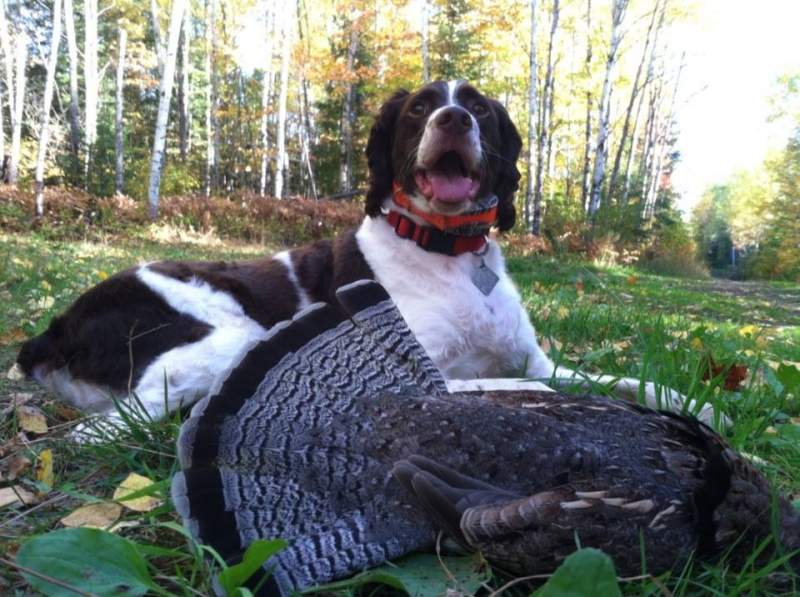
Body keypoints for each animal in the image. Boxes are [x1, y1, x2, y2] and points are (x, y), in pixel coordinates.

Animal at [17, 80, 720, 434]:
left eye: (480, 108)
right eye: (419, 108)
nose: (453, 119)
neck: (449, 255)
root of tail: (59, 326)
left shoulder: (535, 359)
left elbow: (611, 379)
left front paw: (695, 403)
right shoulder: (418, 375)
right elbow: (519, 388)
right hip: (230, 337)